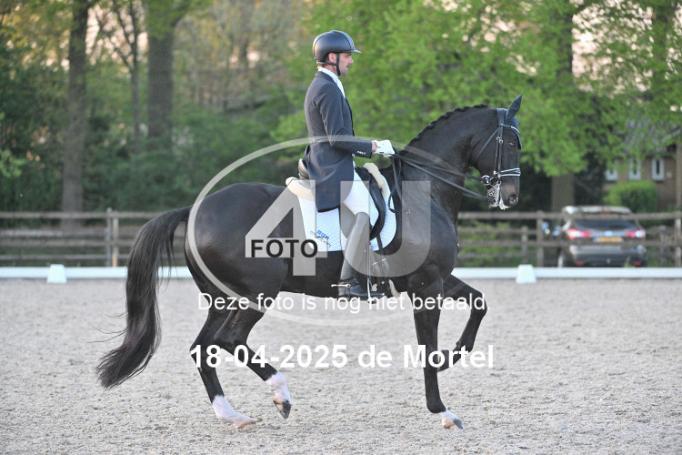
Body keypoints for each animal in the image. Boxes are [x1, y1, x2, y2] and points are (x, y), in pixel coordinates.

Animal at [97, 96, 523, 430]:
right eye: (512, 141)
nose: (513, 196)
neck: (424, 194)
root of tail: (195, 210)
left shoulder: (436, 279)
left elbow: (479, 303)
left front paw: (454, 355)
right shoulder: (426, 285)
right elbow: (428, 347)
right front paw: (443, 410)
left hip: (222, 298)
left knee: (204, 348)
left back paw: (232, 414)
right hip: (256, 294)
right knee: (228, 340)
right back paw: (281, 395)